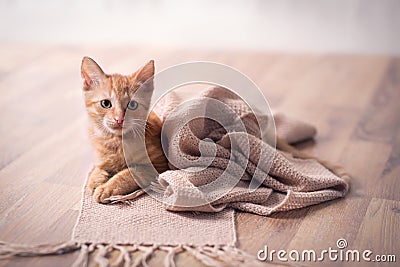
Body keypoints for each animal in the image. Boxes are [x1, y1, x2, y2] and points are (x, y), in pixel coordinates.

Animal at [81, 56, 169, 203]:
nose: (119, 119)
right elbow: (98, 169)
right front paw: (94, 181)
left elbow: (131, 172)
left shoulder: (158, 165)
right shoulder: (101, 160)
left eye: (132, 105)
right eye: (106, 103)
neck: (117, 142)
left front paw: (107, 188)